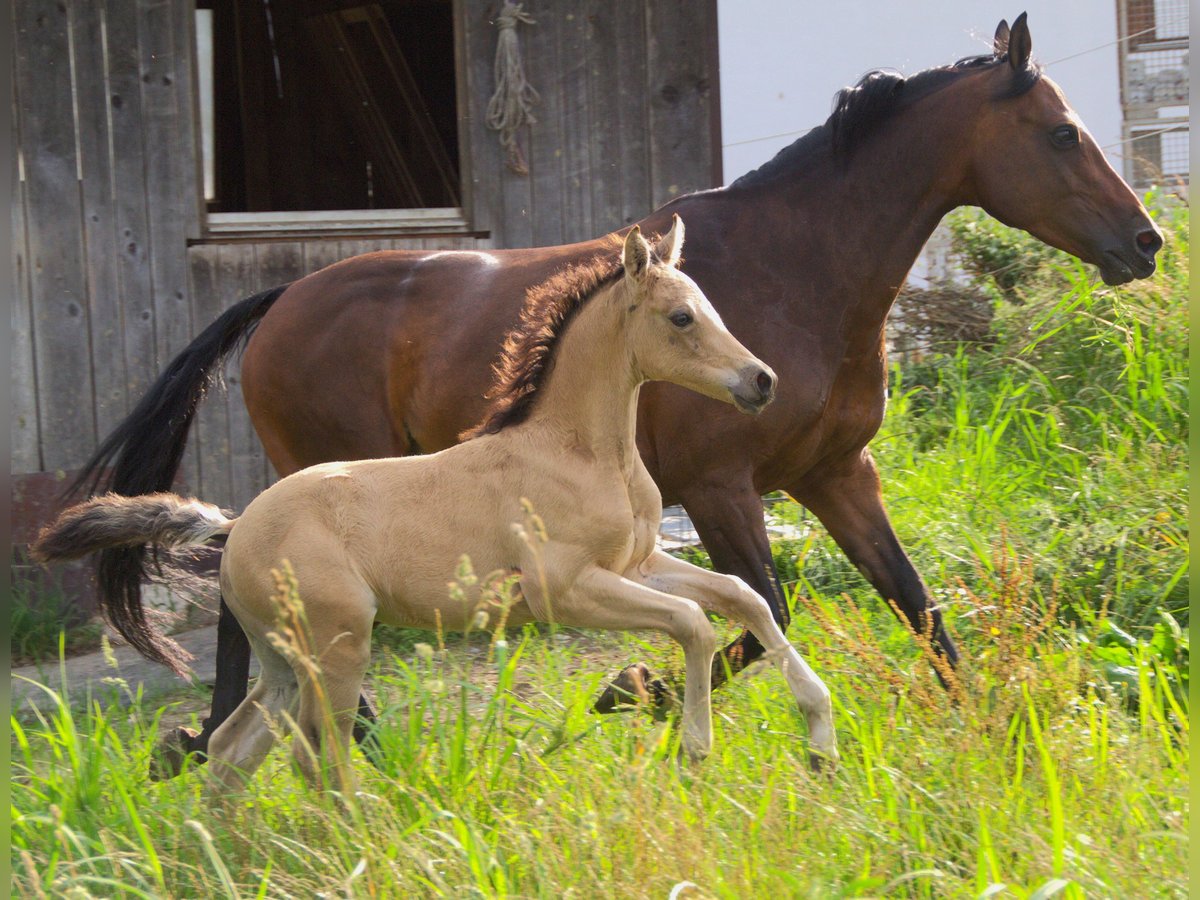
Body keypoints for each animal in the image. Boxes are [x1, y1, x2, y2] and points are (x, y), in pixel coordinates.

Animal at [28, 220, 835, 796]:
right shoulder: (567, 590)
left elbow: (740, 597)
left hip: (285, 660)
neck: (576, 449)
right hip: (337, 650)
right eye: (679, 318)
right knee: (317, 760)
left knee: (236, 754)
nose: (761, 381)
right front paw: (694, 751)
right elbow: (695, 622)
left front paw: (820, 736)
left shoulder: (636, 562)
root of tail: (234, 524)